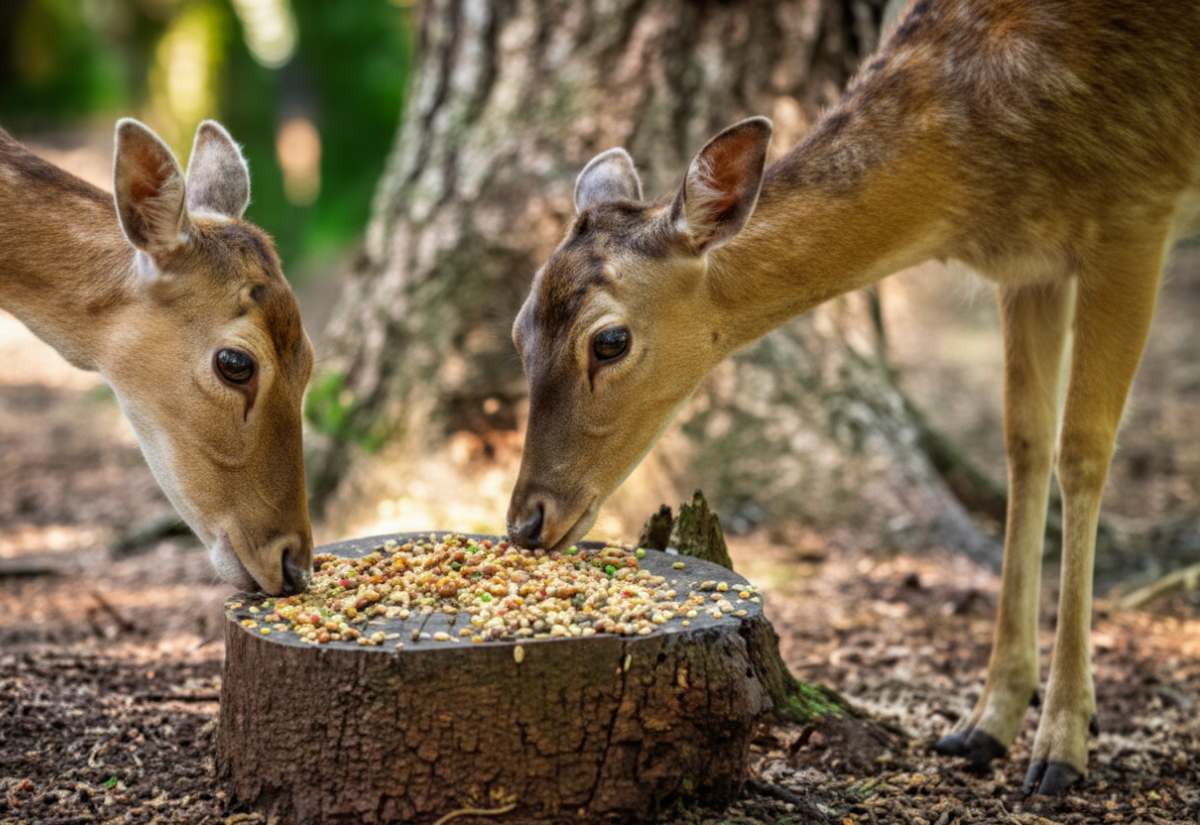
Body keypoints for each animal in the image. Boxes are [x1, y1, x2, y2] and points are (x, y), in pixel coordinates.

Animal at [506, 0, 1200, 796]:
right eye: (519, 330)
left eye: (610, 341)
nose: (525, 522)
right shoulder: (1030, 266)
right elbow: (1024, 446)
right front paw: (984, 723)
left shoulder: (1136, 209)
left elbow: (1082, 452)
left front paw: (1062, 744)